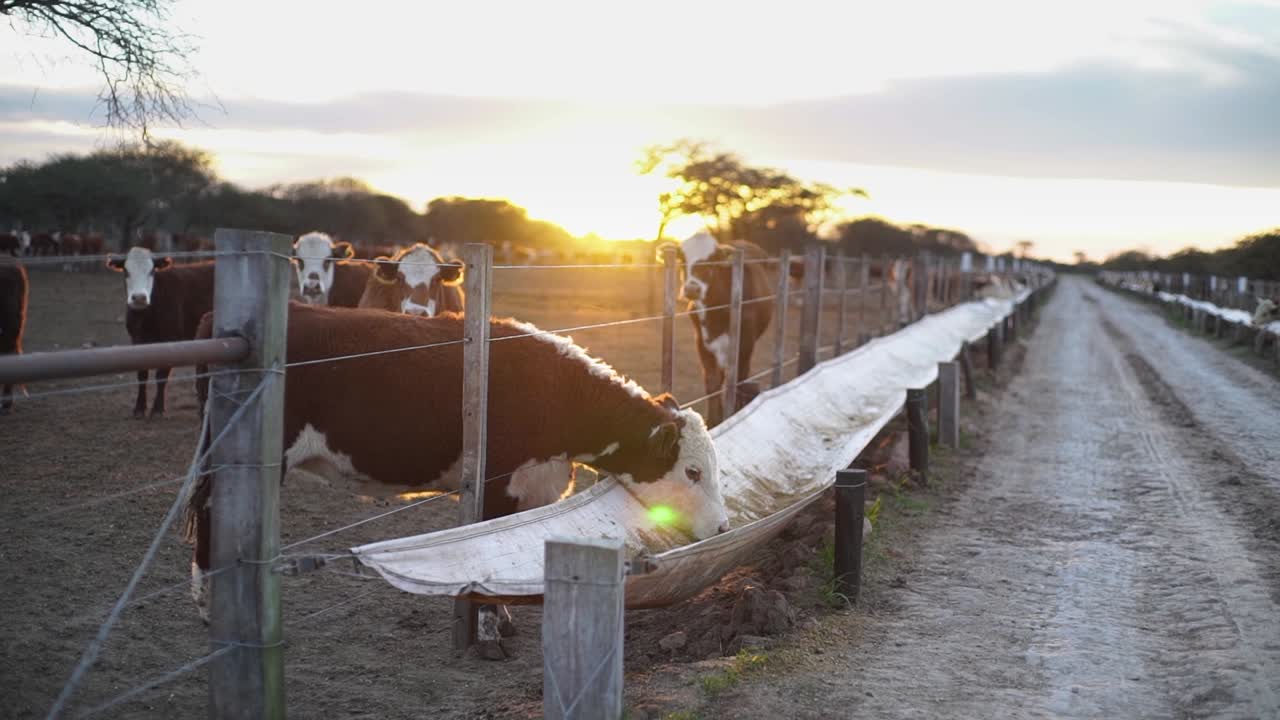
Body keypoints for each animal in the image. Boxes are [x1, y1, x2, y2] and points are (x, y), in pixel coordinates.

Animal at [106, 247, 215, 417]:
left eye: (151, 271)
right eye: (126, 271)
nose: (139, 298)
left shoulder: (171, 339)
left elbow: (162, 375)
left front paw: (157, 408)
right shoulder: (137, 339)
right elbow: (142, 373)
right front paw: (139, 408)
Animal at [184, 303, 730, 657]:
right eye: (693, 471)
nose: (724, 528)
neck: (554, 394)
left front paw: (502, 624)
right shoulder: (494, 485)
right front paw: (489, 637)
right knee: (210, 521)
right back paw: (212, 614)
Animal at [665, 231, 774, 427]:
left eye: (712, 260)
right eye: (682, 258)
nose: (692, 289)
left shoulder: (745, 341)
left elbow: (739, 377)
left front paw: (736, 411)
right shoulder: (701, 341)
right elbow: (712, 381)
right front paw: (714, 420)